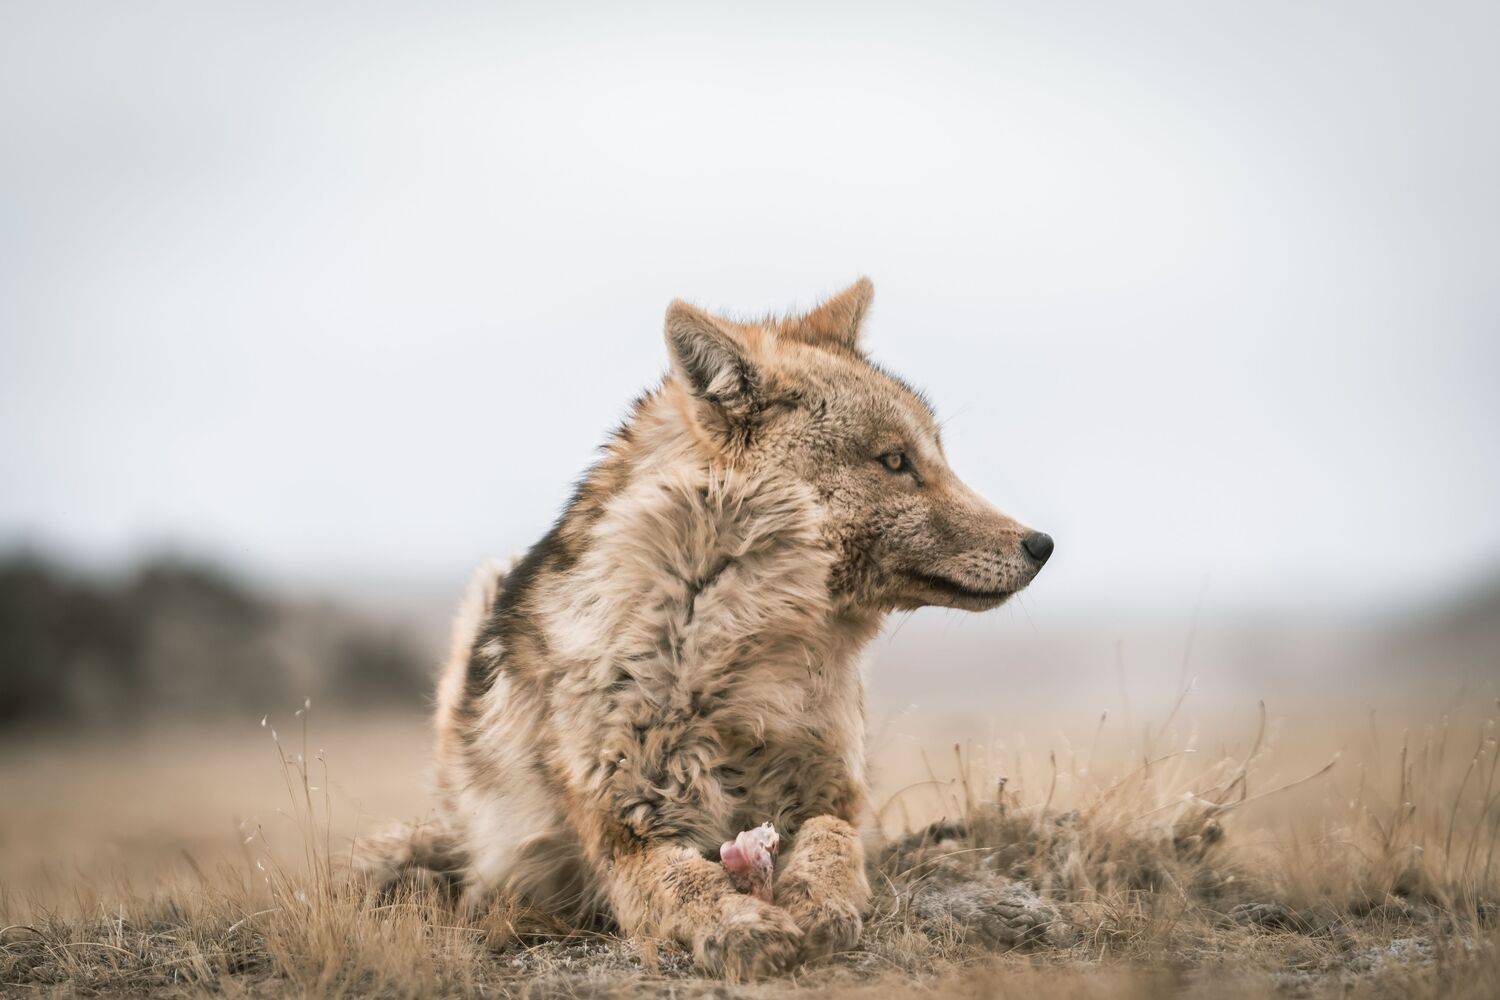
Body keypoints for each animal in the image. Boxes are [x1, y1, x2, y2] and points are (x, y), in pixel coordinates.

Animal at [360, 279, 1053, 978]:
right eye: (894, 460)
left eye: (933, 457)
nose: (1042, 544)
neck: (743, 672)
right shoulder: (628, 837)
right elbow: (689, 883)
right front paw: (745, 926)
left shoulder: (834, 798)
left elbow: (832, 844)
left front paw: (817, 904)